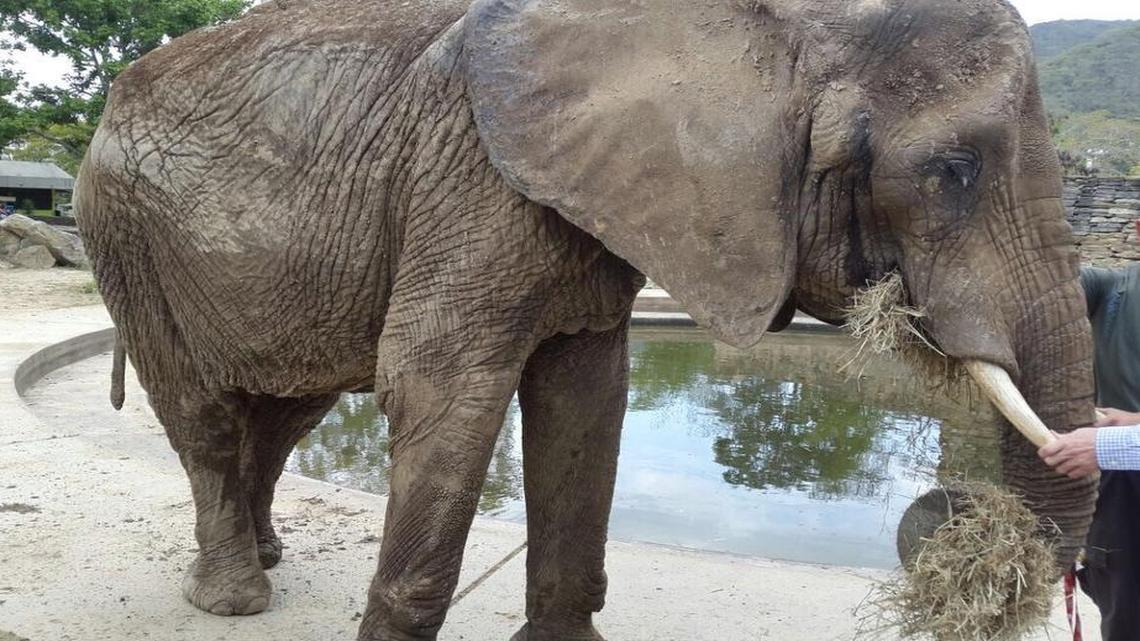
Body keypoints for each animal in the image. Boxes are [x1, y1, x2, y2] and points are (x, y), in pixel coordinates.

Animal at [74, 0, 1097, 639]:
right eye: (952, 171)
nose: (948, 515)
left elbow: (586, 399)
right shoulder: (471, 184)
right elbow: (440, 386)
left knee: (289, 411)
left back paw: (267, 555)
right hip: (122, 232)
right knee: (207, 414)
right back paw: (234, 599)